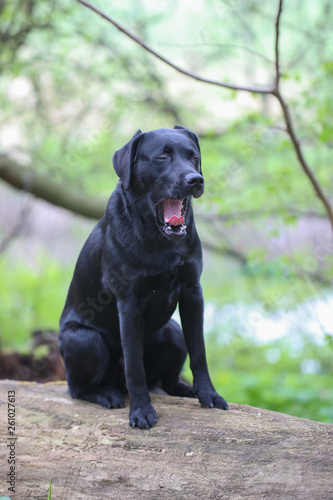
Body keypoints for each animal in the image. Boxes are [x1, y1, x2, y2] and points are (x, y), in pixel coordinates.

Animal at [58, 127, 227, 428]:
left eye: (194, 157)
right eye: (162, 157)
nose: (195, 180)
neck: (159, 241)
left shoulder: (192, 293)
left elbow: (199, 352)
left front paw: (209, 395)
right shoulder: (128, 303)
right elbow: (134, 365)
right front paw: (140, 411)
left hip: (173, 332)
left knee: (166, 381)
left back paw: (186, 391)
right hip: (86, 340)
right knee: (77, 388)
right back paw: (107, 394)